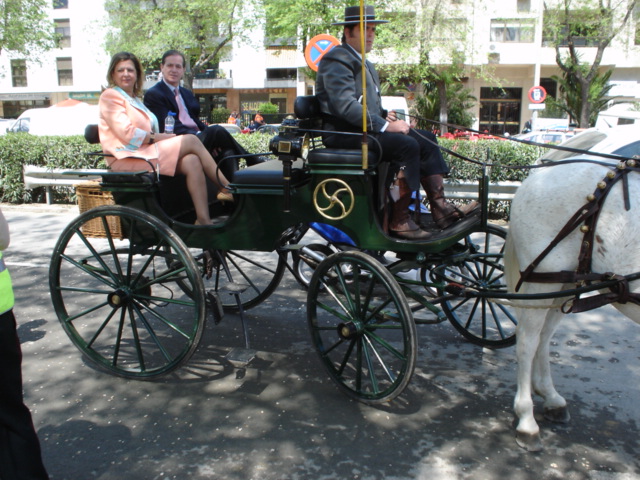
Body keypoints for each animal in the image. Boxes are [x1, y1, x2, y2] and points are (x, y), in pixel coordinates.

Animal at [504, 159, 640, 451]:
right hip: (543, 278)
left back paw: (551, 398)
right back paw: (527, 420)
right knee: (528, 340)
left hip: (564, 281)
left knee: (543, 338)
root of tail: (540, 172)